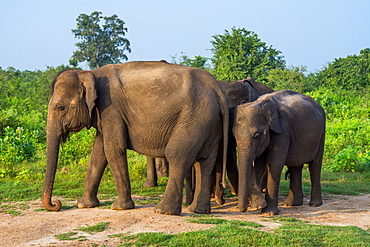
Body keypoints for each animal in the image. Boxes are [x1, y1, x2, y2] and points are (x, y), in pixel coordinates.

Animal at [43, 60, 228, 215]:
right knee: (204, 162)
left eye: (61, 108)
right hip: (210, 122)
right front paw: (84, 205)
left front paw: (119, 207)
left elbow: (113, 149)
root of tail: (218, 91)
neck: (90, 73)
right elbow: (98, 153)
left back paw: (162, 211)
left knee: (178, 155)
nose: (56, 204)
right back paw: (197, 210)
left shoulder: (111, 108)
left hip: (195, 117)